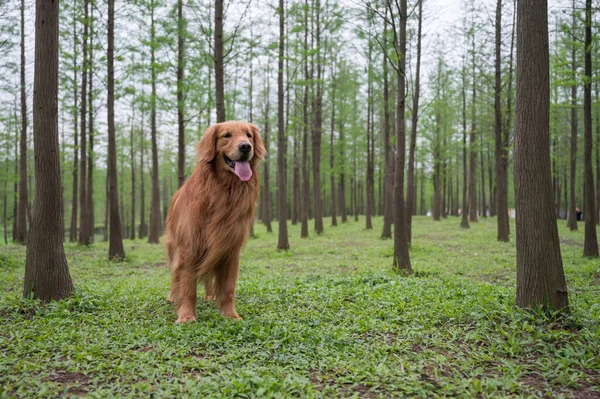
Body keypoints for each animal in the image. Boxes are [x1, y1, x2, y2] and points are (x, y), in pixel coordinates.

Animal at [165, 120, 266, 324]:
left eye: (248, 135)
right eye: (226, 135)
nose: (245, 147)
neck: (224, 191)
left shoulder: (229, 248)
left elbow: (228, 288)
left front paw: (230, 314)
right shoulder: (190, 246)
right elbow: (187, 284)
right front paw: (186, 315)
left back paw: (210, 295)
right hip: (174, 245)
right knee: (175, 273)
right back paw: (172, 295)